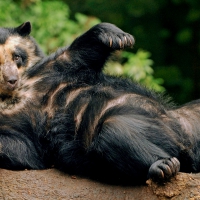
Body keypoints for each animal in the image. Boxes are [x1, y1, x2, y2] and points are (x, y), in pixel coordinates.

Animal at [0, 21, 200, 185]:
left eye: (17, 56)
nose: (12, 80)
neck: (14, 96)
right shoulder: (23, 132)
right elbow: (22, 150)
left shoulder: (47, 73)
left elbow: (77, 56)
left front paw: (119, 37)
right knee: (115, 134)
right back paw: (164, 166)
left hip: (190, 115)